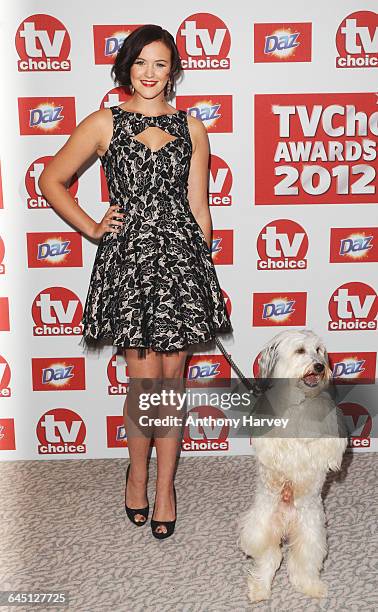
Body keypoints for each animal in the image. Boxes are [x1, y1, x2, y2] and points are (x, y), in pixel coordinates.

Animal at [239, 330, 348, 604]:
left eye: (319, 351)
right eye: (300, 351)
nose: (320, 366)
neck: (300, 402)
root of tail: (287, 522)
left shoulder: (326, 426)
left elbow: (321, 448)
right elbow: (278, 449)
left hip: (311, 534)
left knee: (300, 564)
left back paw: (312, 588)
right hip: (262, 529)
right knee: (270, 559)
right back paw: (260, 590)